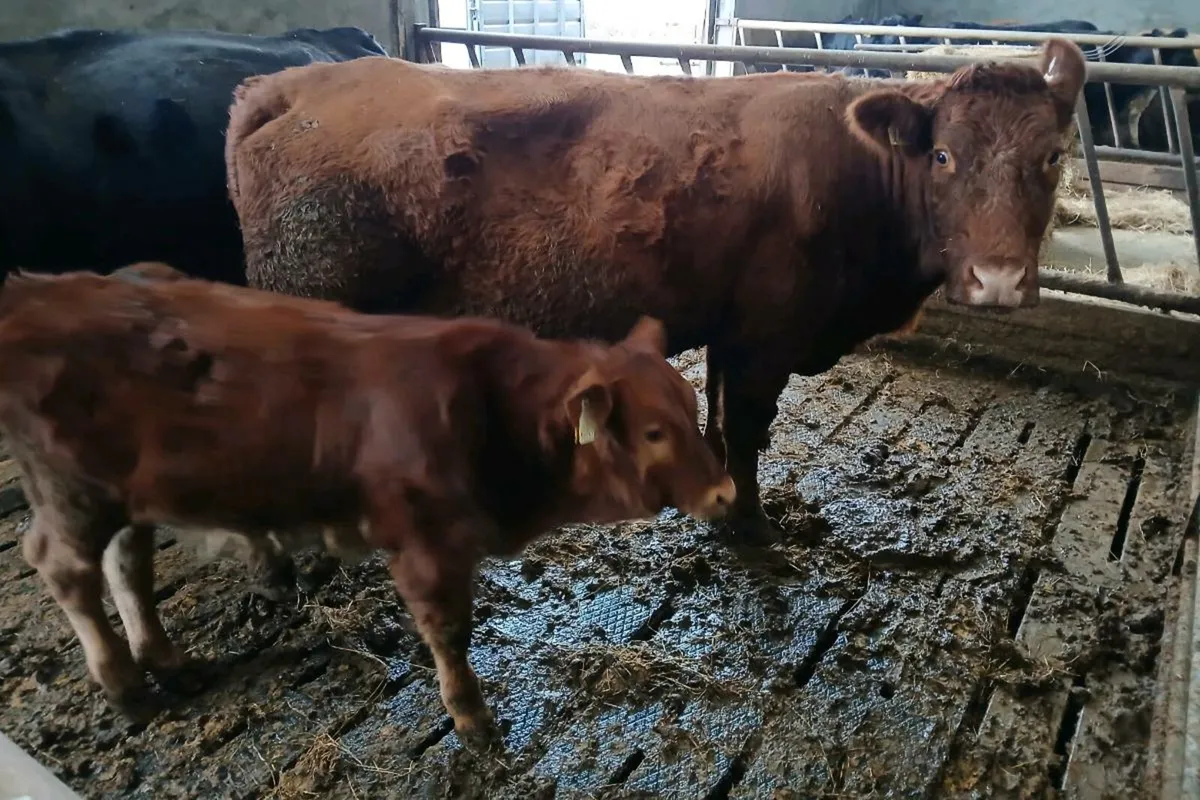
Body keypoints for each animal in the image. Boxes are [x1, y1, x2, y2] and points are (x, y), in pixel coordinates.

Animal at [0, 267, 734, 742]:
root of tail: (36, 290)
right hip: (72, 493)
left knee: (128, 564)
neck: (487, 410)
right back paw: (125, 687)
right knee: (65, 569)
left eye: (692, 402)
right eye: (653, 432)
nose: (726, 493)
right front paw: (471, 718)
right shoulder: (424, 544)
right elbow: (449, 633)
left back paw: (167, 661)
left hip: (129, 495)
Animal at [224, 38, 1088, 545]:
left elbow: (719, 419)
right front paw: (750, 523)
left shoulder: (730, 328)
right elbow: (746, 428)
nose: (999, 280)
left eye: (1053, 155)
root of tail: (291, 84)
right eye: (943, 155)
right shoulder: (766, 336)